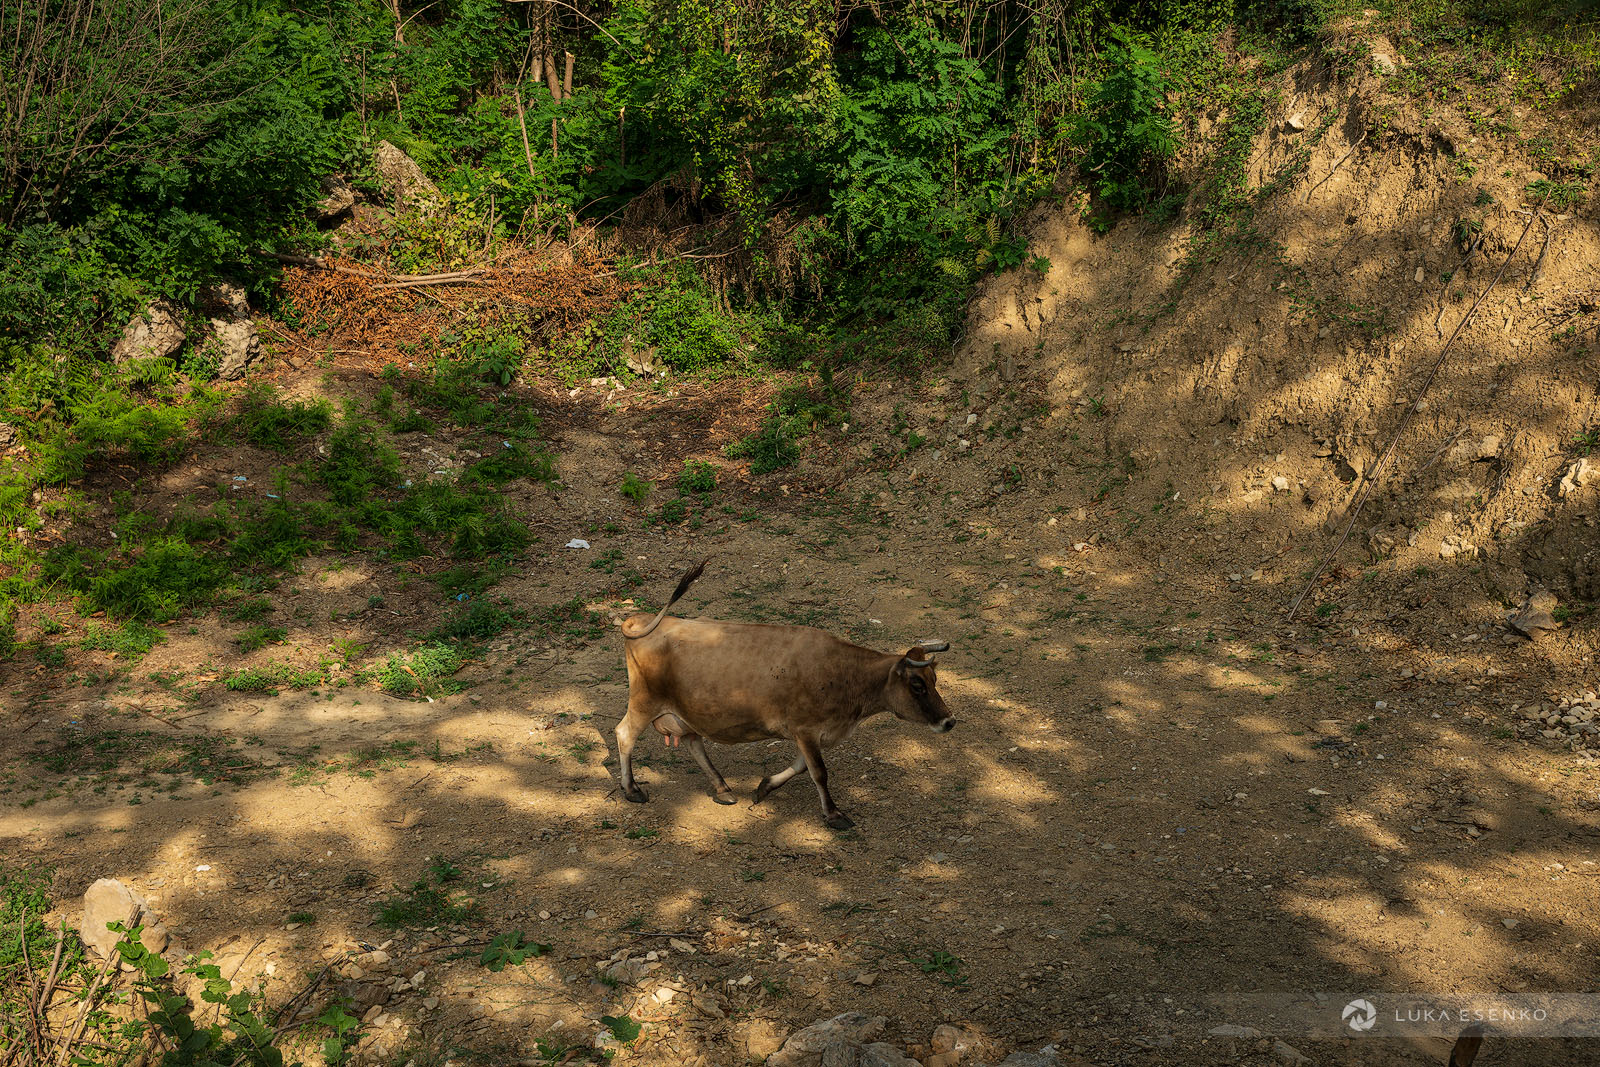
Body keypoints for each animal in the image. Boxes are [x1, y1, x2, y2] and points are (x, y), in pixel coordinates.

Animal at [615, 560, 955, 829]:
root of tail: (642, 620)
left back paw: (723, 789)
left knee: (693, 741)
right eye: (917, 685)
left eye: (934, 679)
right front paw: (834, 814)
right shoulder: (806, 729)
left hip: (684, 710)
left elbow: (802, 766)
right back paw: (632, 790)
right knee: (624, 734)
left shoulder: (810, 733)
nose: (949, 721)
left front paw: (764, 787)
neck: (844, 674)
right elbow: (819, 772)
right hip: (645, 701)